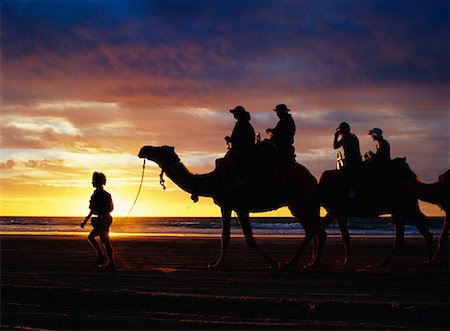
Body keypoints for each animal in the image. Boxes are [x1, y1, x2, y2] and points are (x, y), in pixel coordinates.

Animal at [139, 146, 326, 270]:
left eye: (159, 150)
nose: (143, 149)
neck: (213, 181)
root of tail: (314, 180)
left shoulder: (241, 206)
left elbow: (249, 238)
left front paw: (274, 262)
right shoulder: (226, 206)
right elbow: (225, 236)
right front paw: (216, 264)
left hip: (300, 201)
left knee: (312, 230)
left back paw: (295, 262)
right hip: (303, 203)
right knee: (317, 230)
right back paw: (312, 262)